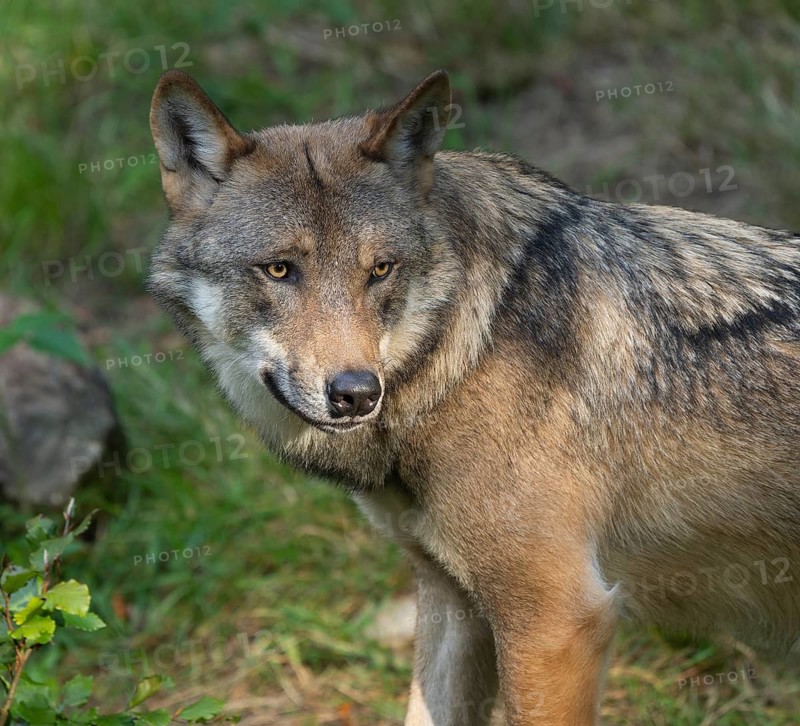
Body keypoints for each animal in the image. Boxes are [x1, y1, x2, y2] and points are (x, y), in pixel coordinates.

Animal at [148, 69, 800, 724]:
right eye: (279, 270)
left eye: (380, 270)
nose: (357, 394)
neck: (465, 350)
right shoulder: (451, 602)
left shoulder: (556, 623)